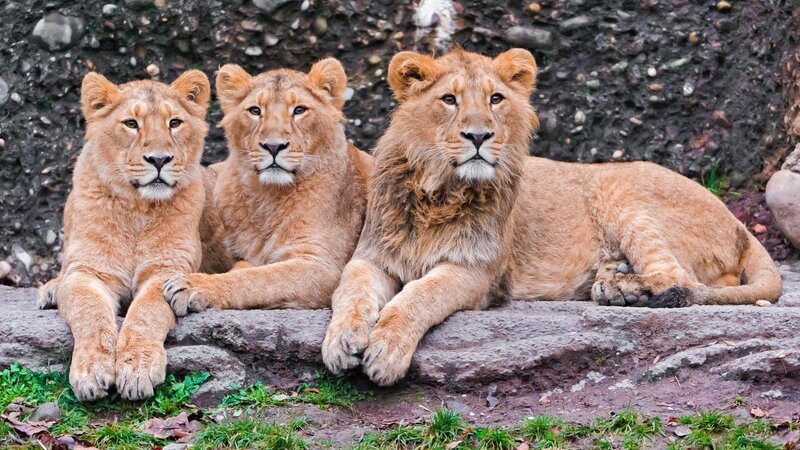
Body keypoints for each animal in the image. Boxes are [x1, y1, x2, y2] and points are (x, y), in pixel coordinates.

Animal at [36, 70, 211, 400]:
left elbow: (146, 312)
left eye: (175, 123)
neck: (138, 210)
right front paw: (92, 371)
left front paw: (137, 368)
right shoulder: (88, 271)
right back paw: (51, 289)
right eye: (131, 123)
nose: (159, 159)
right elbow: (90, 312)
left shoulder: (167, 270)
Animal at [163, 58, 372, 314]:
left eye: (299, 110)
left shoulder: (325, 267)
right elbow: (252, 271)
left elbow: (261, 278)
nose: (273, 146)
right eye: (255, 111)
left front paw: (193, 285)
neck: (268, 196)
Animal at [322, 48, 783, 386]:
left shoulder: (476, 271)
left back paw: (625, 290)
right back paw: (613, 281)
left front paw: (385, 351)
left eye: (496, 99)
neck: (439, 191)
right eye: (448, 100)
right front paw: (341, 342)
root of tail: (738, 222)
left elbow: (418, 297)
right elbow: (350, 293)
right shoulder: (371, 257)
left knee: (683, 279)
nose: (478, 135)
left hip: (617, 186)